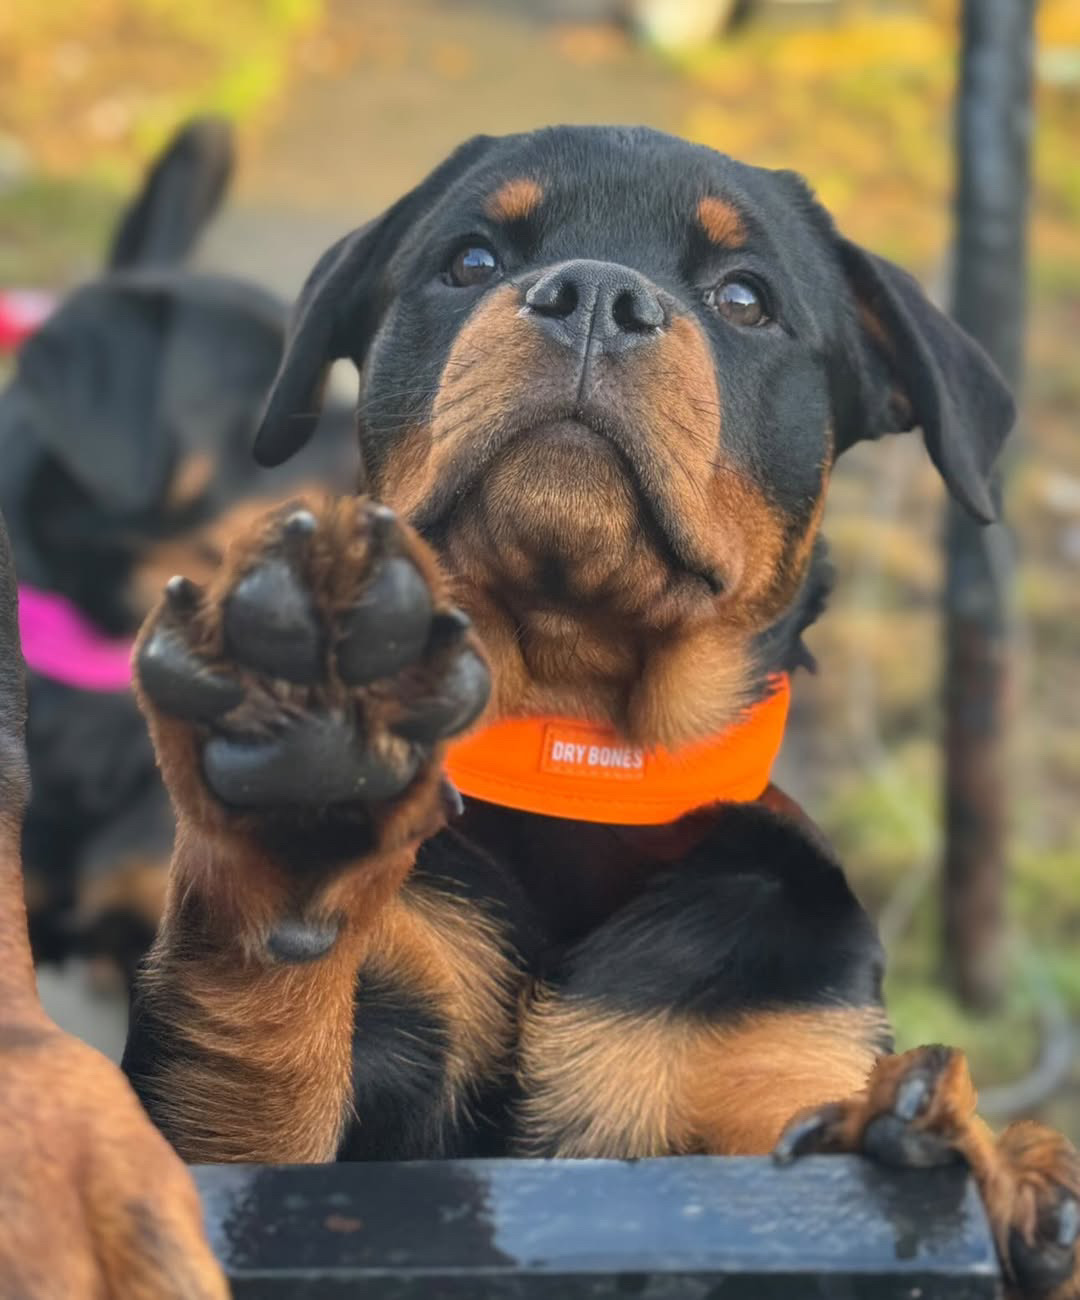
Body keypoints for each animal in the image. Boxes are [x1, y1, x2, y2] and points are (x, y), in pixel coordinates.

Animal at [114, 127, 1078, 1297]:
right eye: (471, 261)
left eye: (746, 298)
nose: (596, 297)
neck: (578, 762)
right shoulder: (259, 1152)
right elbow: (254, 1061)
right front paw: (305, 784)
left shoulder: (769, 1063)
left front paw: (975, 1154)